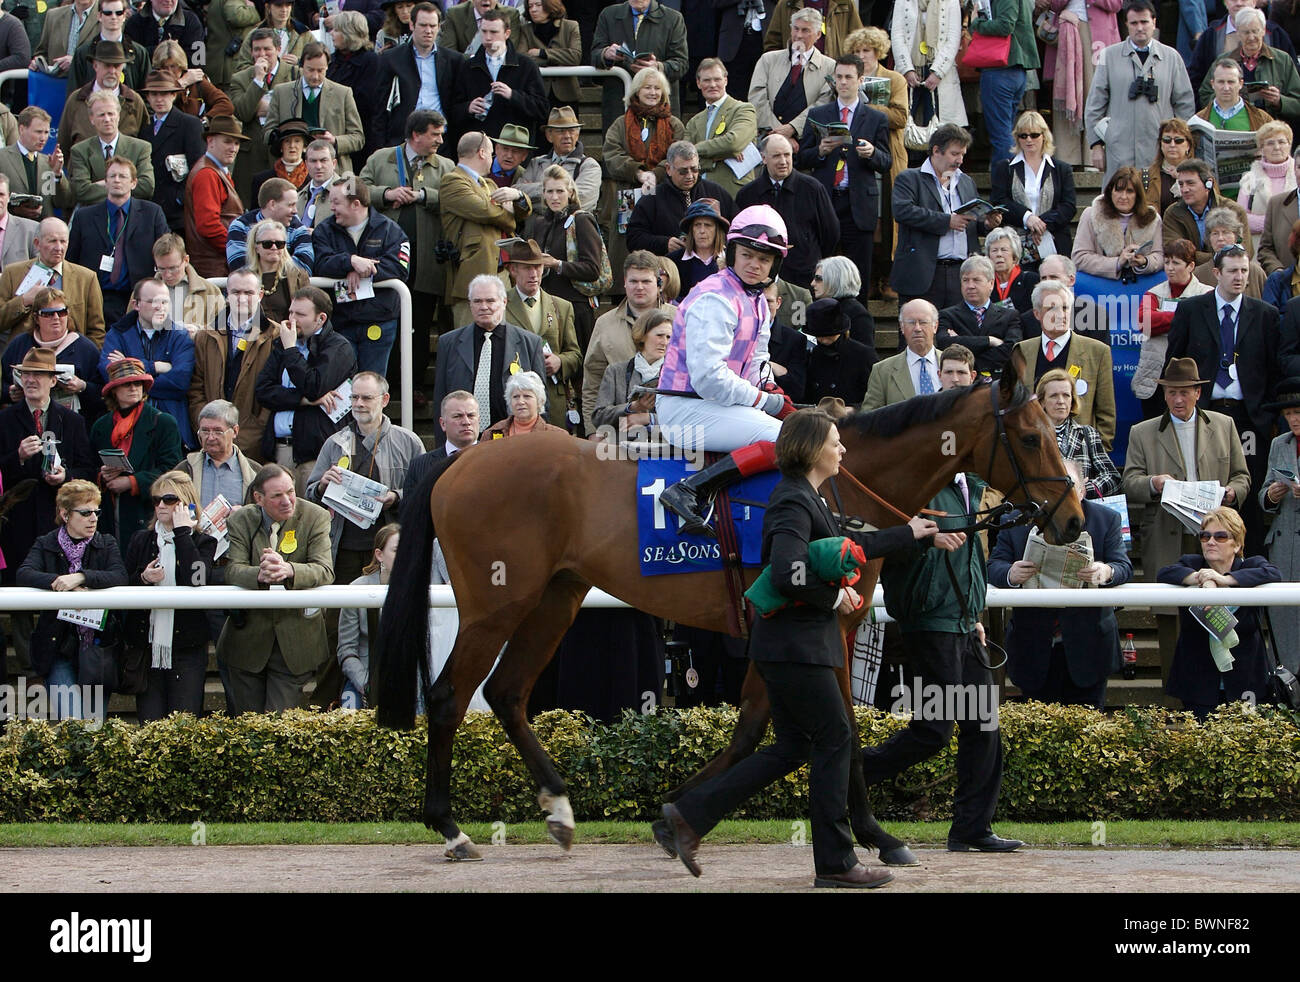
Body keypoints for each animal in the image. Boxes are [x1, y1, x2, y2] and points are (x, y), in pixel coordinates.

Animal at [377, 361, 1086, 858]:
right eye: (1030, 436)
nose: (1074, 519)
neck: (841, 482)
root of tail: (462, 459)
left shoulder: (804, 628)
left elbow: (761, 727)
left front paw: (680, 806)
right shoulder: (823, 621)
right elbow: (829, 731)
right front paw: (873, 833)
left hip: (557, 595)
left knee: (507, 692)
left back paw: (558, 808)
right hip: (497, 604)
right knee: (448, 697)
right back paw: (450, 828)